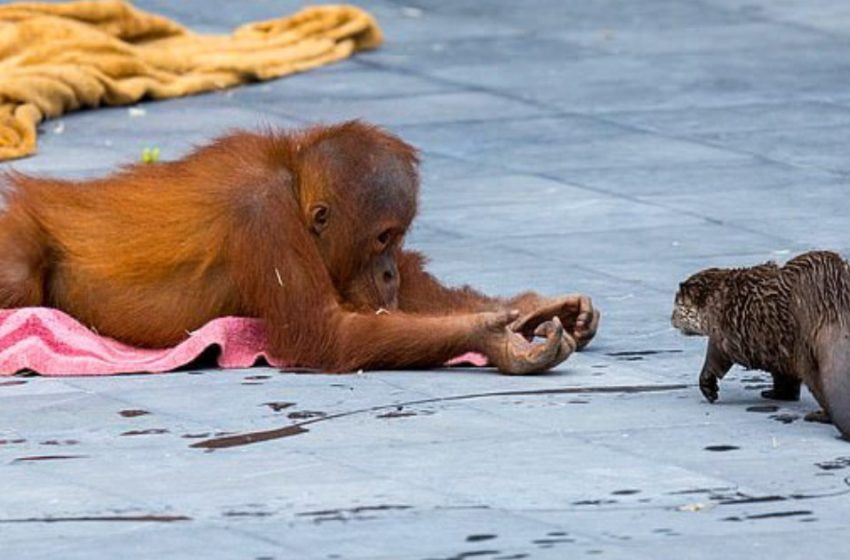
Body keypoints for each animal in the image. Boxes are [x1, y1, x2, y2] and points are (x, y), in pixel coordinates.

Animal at [668, 252, 848, 440]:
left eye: (677, 305)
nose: (671, 319)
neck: (718, 299)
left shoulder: (723, 334)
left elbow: (714, 361)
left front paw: (709, 389)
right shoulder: (779, 351)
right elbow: (785, 380)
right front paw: (775, 394)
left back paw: (818, 416)